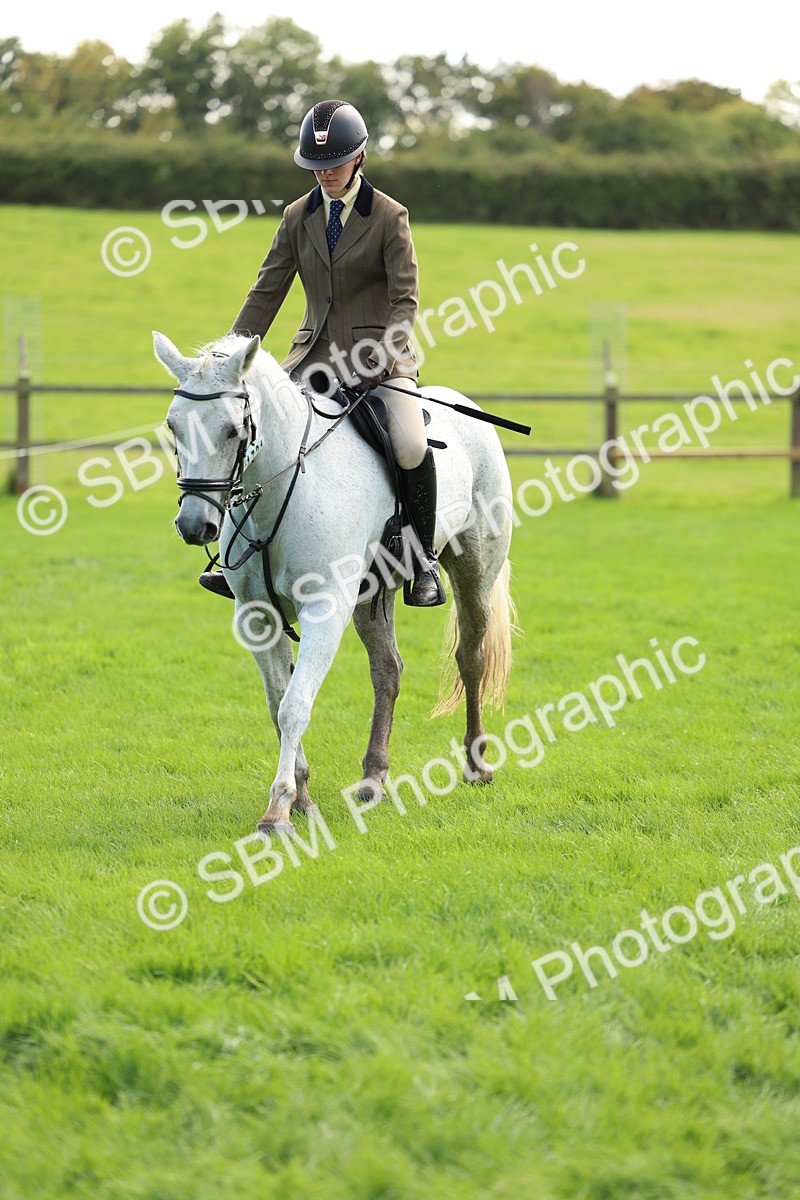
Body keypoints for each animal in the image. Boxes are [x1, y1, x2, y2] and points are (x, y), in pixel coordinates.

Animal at [153, 331, 518, 835]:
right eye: (174, 427)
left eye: (233, 430)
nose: (193, 525)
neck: (283, 485)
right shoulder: (257, 618)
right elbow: (278, 703)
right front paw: (302, 798)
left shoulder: (324, 610)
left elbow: (295, 705)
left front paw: (278, 810)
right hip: (371, 597)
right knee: (388, 670)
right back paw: (372, 780)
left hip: (475, 571)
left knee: (471, 658)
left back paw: (476, 765)